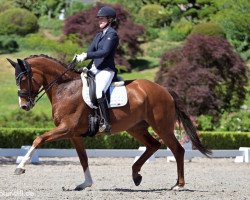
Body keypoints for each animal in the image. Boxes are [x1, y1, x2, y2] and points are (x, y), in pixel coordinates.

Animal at [6, 54, 211, 191]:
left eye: (23, 79)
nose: (24, 105)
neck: (65, 88)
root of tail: (165, 90)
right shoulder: (74, 134)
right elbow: (83, 158)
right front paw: (86, 183)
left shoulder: (66, 128)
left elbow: (38, 139)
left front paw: (20, 167)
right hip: (136, 128)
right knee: (153, 145)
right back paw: (136, 174)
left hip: (162, 126)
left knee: (177, 149)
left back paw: (178, 185)